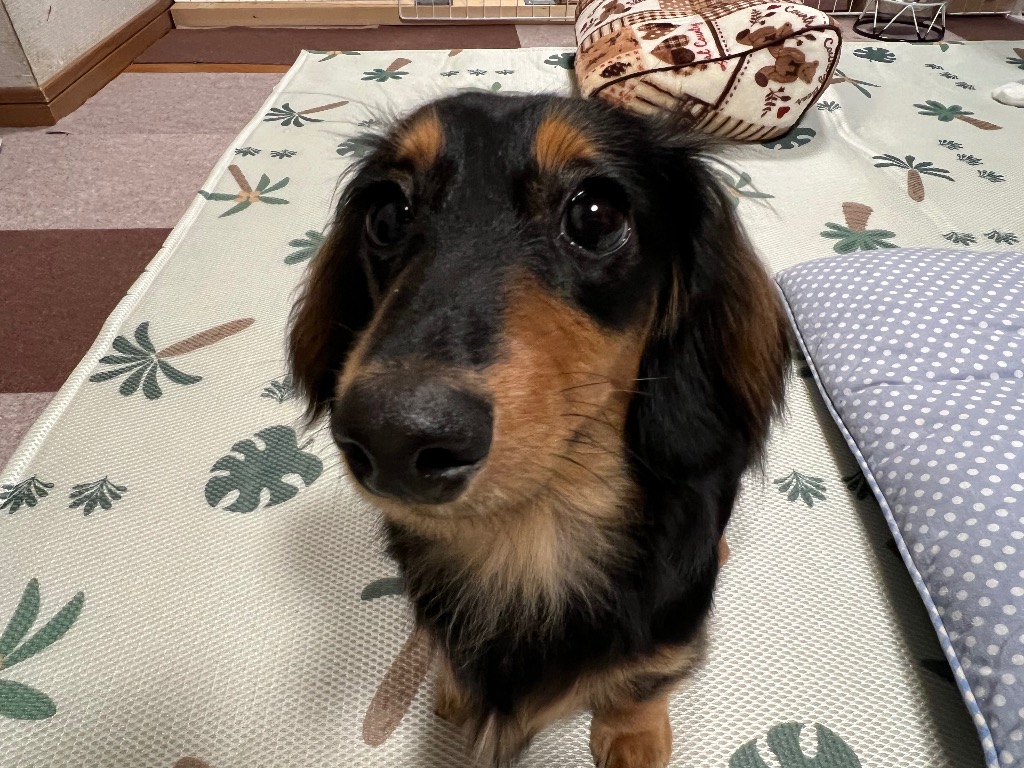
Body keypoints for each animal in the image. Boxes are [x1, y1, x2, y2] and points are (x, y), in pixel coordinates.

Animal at [288, 92, 790, 768]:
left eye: (597, 216)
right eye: (388, 214)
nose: (393, 435)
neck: (526, 538)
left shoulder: (668, 632)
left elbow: (641, 681)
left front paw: (631, 735)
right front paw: (454, 688)